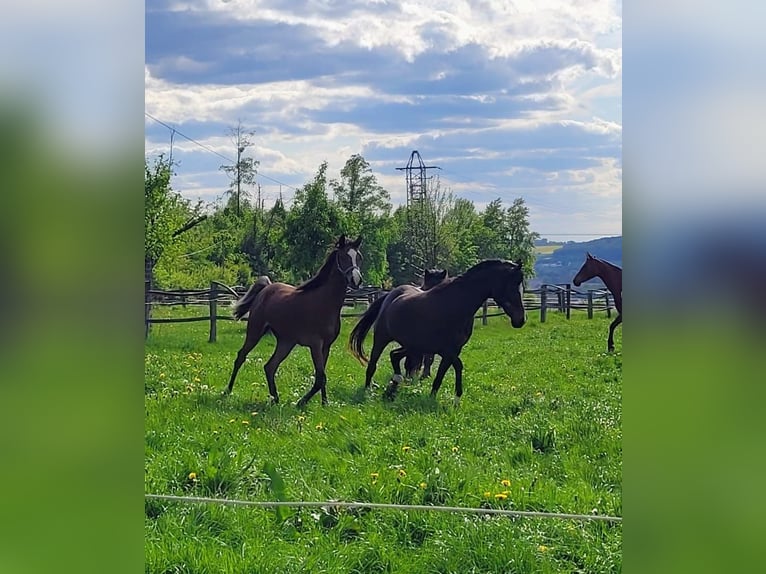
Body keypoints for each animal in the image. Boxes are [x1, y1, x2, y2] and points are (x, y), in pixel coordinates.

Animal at [224, 235, 363, 407]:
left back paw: (275, 399)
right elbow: (320, 378)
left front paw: (324, 403)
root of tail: (266, 288)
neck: (324, 302)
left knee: (270, 366)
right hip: (255, 332)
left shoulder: (326, 346)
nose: (356, 280)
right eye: (343, 256)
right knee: (241, 357)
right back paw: (227, 391)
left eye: (359, 257)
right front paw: (301, 402)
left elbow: (322, 376)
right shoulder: (315, 345)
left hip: (286, 342)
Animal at [349, 259, 526, 403]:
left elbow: (443, 374)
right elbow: (455, 367)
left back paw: (395, 384)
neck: (455, 306)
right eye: (512, 284)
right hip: (382, 338)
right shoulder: (446, 350)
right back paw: (369, 391)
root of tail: (390, 295)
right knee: (373, 364)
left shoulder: (452, 350)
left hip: (413, 346)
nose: (520, 320)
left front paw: (445, 399)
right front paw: (451, 398)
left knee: (395, 356)